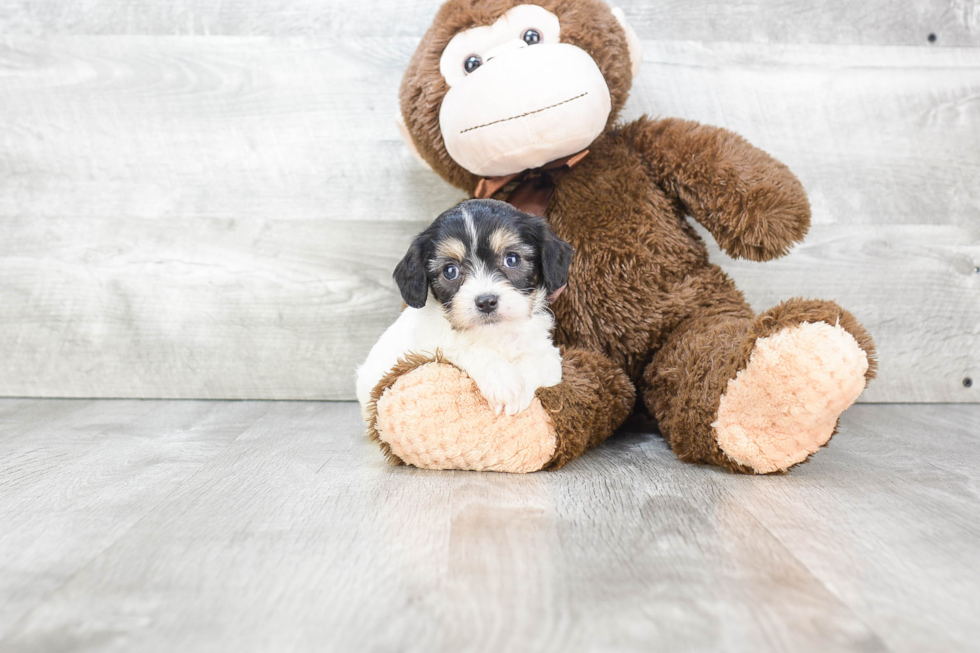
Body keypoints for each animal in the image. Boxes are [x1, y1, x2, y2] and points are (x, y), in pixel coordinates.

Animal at [358, 200, 576, 418]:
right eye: (450, 271)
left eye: (512, 259)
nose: (486, 302)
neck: (494, 334)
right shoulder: (428, 347)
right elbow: (466, 346)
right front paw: (504, 382)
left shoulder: (546, 352)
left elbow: (537, 361)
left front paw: (519, 389)